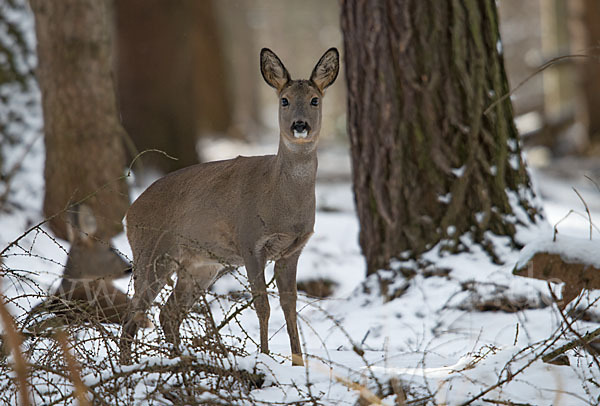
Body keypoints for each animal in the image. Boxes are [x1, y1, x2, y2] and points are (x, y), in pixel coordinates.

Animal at [119, 46, 340, 364]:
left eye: (314, 99)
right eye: (284, 100)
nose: (300, 125)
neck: (281, 201)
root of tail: (129, 212)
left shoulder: (292, 250)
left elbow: (290, 307)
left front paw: (298, 362)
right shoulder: (251, 242)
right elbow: (263, 305)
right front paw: (265, 356)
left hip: (200, 264)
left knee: (168, 313)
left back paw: (180, 358)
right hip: (152, 252)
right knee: (133, 314)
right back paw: (127, 365)